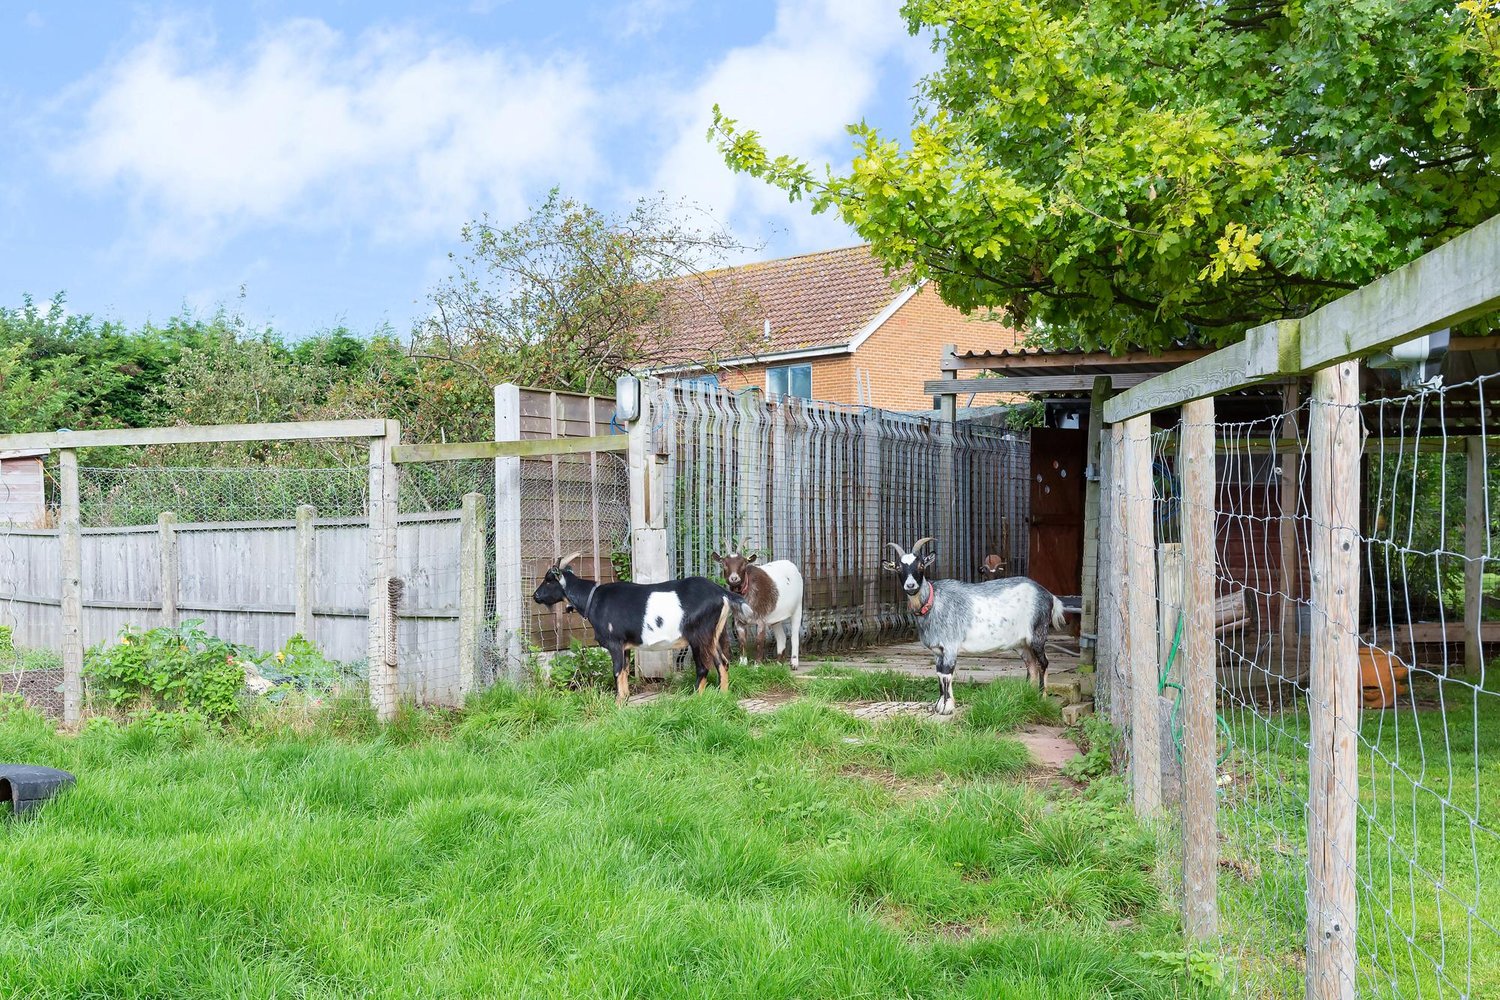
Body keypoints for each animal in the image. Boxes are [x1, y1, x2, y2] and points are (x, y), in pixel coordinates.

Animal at [531, 554, 741, 704]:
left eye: (549, 579)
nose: (535, 596)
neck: (593, 600)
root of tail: (722, 593)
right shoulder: (625, 646)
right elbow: (624, 671)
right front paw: (624, 699)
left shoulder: (615, 643)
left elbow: (616, 671)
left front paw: (617, 704)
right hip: (714, 634)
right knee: (722, 662)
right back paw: (723, 696)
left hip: (699, 635)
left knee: (704, 667)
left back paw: (695, 700)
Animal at [876, 539, 1068, 719]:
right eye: (898, 567)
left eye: (921, 565)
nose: (910, 586)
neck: (934, 602)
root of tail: (1049, 596)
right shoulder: (938, 651)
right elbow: (939, 674)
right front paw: (939, 706)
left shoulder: (951, 646)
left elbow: (947, 674)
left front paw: (947, 708)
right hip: (1022, 643)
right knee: (1031, 665)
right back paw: (1027, 696)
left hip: (1038, 634)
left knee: (1043, 663)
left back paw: (1041, 697)